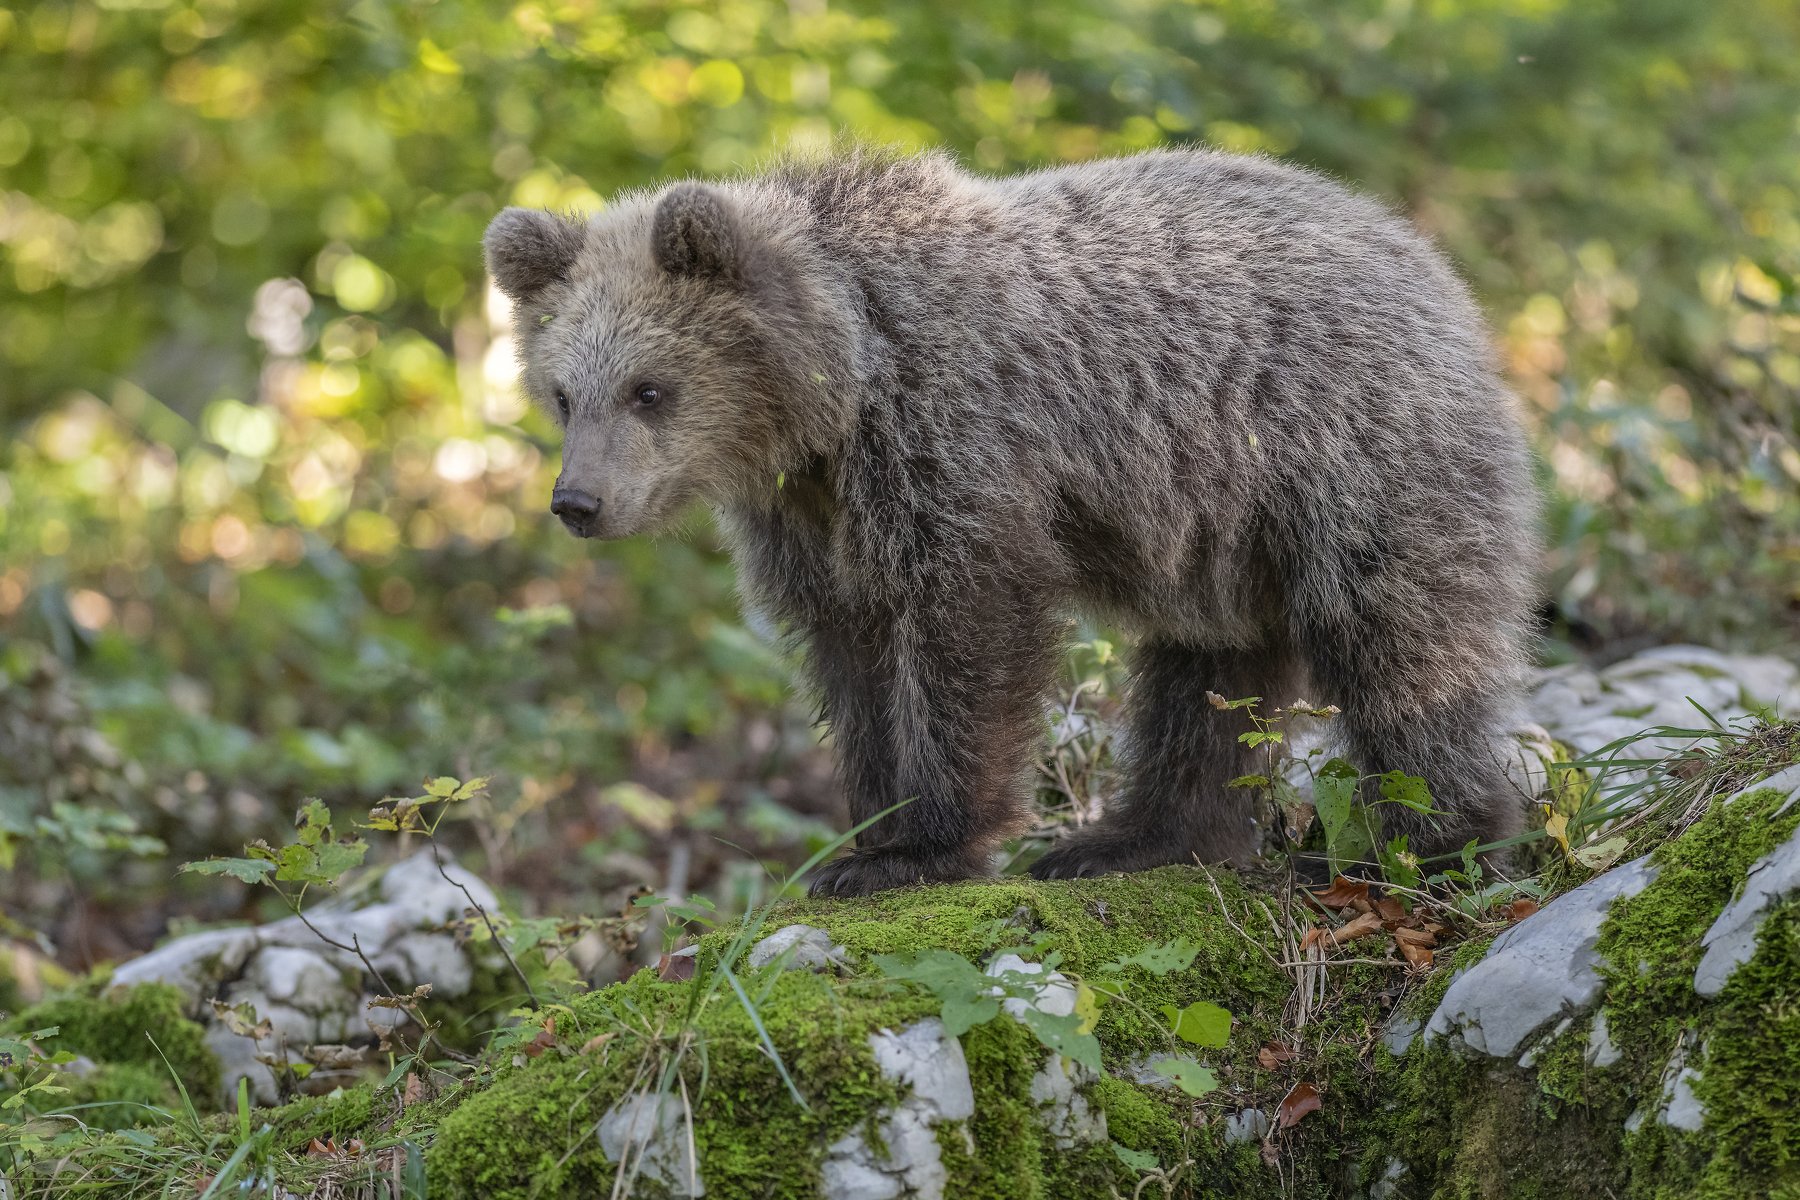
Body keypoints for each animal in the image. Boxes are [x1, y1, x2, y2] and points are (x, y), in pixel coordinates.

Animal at [486, 145, 1540, 895]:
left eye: (649, 389)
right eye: (563, 394)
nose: (578, 502)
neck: (839, 393)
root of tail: (1431, 263)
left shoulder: (954, 442)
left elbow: (969, 628)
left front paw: (923, 846)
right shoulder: (811, 518)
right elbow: (852, 650)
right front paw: (867, 835)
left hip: (1349, 452)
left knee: (1402, 640)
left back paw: (1418, 846)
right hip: (1222, 529)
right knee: (1209, 671)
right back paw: (1138, 840)